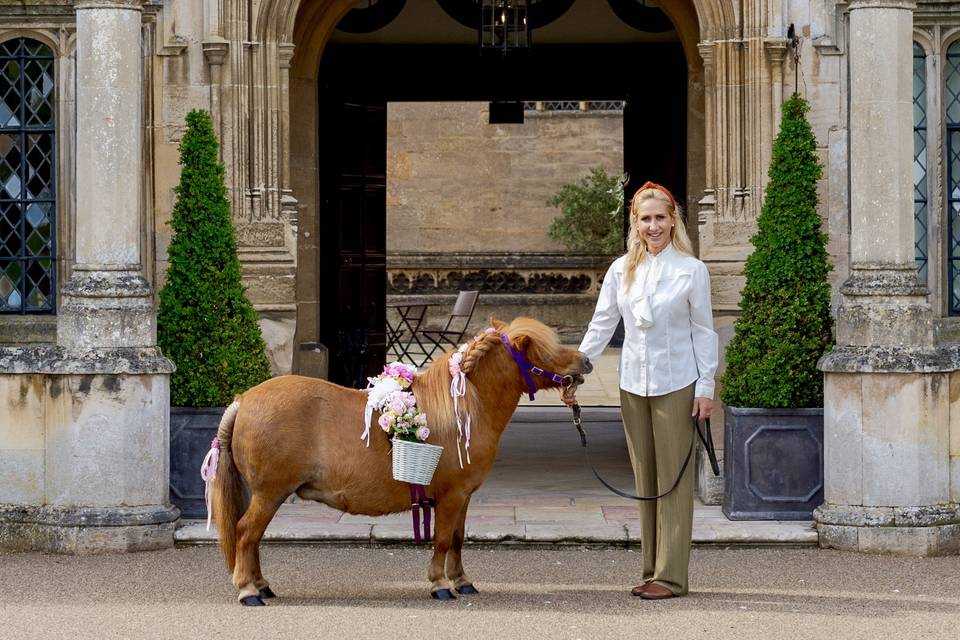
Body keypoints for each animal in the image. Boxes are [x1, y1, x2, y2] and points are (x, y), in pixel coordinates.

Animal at [212, 318, 584, 604]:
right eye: (544, 350)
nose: (585, 362)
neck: (464, 408)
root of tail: (244, 400)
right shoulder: (451, 497)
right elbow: (442, 540)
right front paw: (440, 584)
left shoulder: (463, 497)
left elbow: (458, 540)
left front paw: (462, 581)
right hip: (269, 493)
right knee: (246, 533)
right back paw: (248, 590)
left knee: (253, 538)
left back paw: (261, 585)